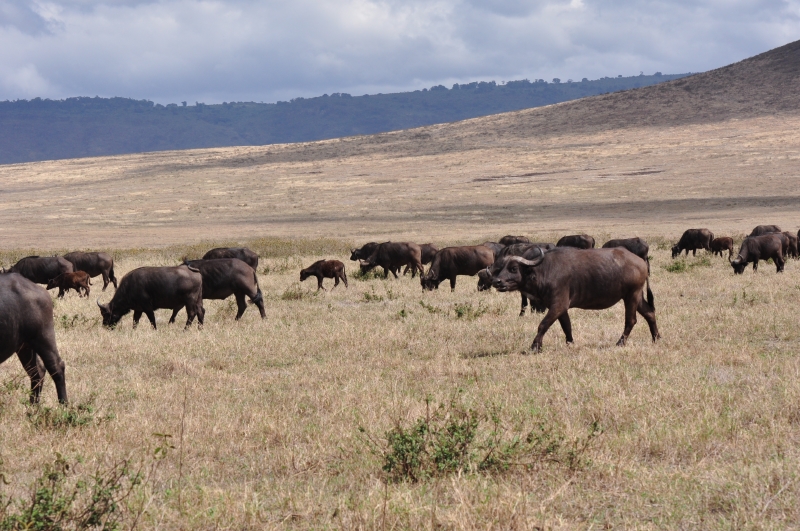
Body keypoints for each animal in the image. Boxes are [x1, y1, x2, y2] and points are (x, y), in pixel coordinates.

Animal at [0, 273, 67, 403]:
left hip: (43, 337)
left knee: (56, 367)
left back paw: (64, 404)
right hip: (24, 346)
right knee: (37, 372)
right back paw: (32, 405)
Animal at [491, 247, 659, 351]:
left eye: (513, 268)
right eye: (502, 267)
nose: (497, 281)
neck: (543, 270)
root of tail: (641, 262)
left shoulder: (558, 305)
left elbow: (543, 324)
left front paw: (535, 347)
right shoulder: (560, 308)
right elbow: (567, 325)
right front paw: (570, 343)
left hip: (631, 295)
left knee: (631, 320)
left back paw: (620, 342)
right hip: (637, 296)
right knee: (650, 313)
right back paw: (656, 338)